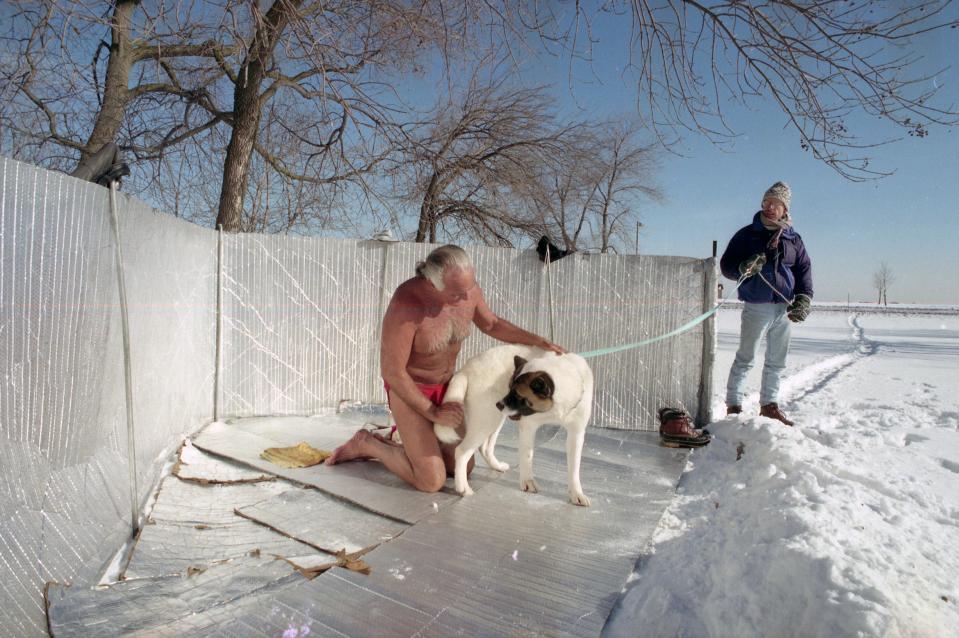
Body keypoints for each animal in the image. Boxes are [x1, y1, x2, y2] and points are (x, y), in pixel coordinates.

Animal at [436, 348, 592, 508]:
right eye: (509, 387)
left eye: (517, 394)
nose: (499, 404)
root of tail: (466, 368)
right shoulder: (528, 427)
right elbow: (527, 456)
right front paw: (528, 483)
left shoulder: (576, 434)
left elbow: (574, 468)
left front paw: (576, 494)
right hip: (487, 419)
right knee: (461, 451)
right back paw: (463, 489)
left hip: (495, 419)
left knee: (485, 448)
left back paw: (497, 466)